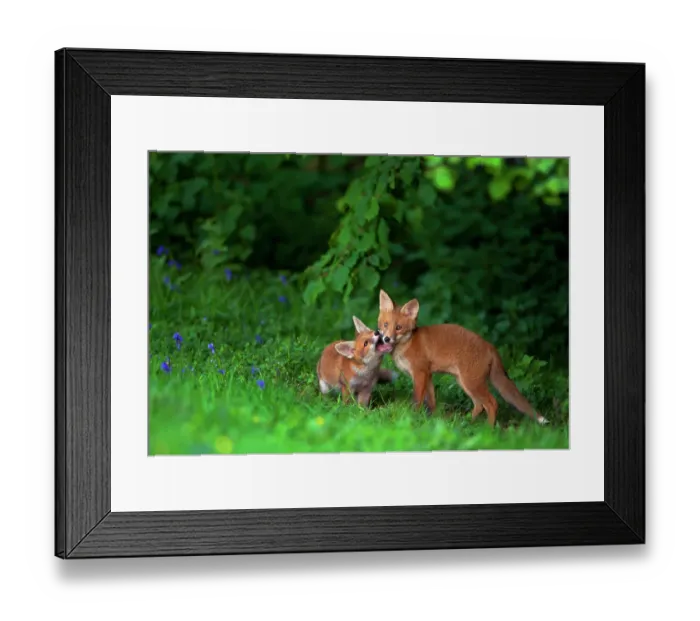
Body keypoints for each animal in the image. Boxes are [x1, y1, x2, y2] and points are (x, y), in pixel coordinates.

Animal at [376, 289, 548, 427]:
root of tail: (489, 345)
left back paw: (488, 430)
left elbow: (417, 400)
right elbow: (431, 402)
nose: (386, 339)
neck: (407, 344)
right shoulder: (428, 375)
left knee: (492, 403)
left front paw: (413, 419)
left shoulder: (420, 373)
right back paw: (467, 424)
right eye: (385, 325)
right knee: (479, 405)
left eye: (398, 328)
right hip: (465, 382)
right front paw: (431, 422)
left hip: (471, 383)